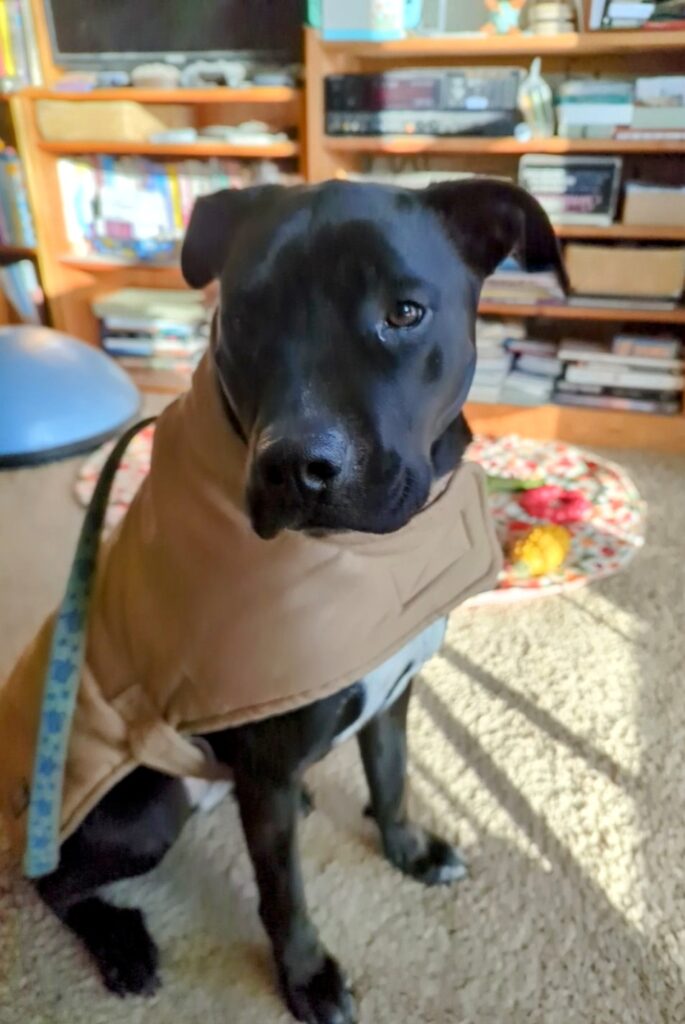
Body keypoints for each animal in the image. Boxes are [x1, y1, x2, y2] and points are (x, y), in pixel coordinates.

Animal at [34, 180, 565, 1019]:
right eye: (245, 312)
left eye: (404, 312)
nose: (297, 467)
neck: (367, 556)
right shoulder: (266, 766)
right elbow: (282, 892)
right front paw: (307, 977)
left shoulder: (391, 696)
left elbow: (392, 777)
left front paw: (407, 850)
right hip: (143, 808)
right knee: (53, 884)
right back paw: (121, 943)